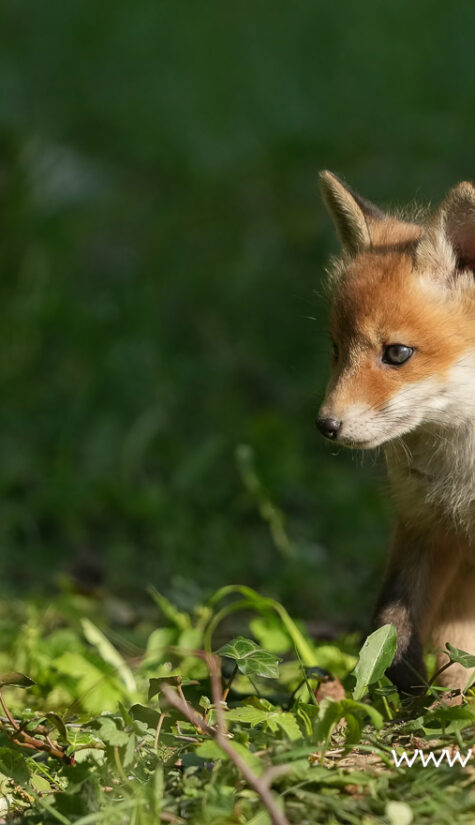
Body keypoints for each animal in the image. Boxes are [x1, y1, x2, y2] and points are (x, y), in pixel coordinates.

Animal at [317, 170, 475, 694]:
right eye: (336, 348)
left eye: (397, 353)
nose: (326, 424)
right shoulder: (423, 522)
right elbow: (393, 620)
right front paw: (392, 691)